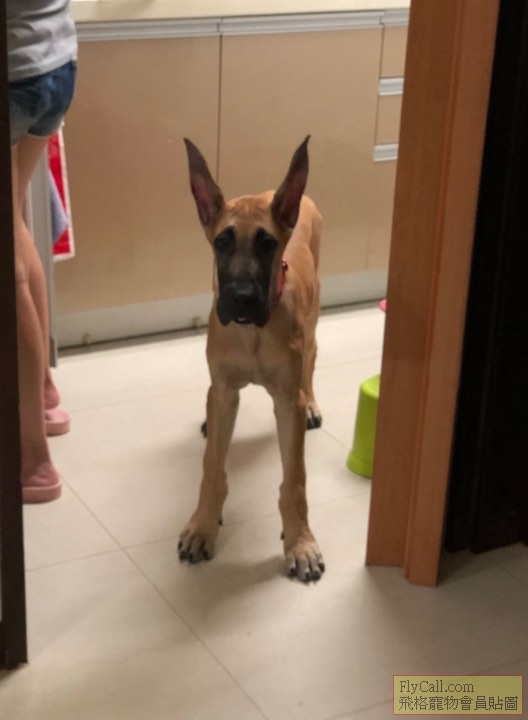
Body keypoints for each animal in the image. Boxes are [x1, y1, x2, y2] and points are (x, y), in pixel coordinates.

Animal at [178, 137, 325, 582]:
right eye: (222, 242)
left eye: (267, 242)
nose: (241, 299)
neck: (252, 332)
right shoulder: (225, 390)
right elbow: (212, 468)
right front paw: (202, 526)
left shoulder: (286, 401)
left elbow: (294, 480)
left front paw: (300, 542)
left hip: (314, 316)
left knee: (313, 355)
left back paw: (313, 404)